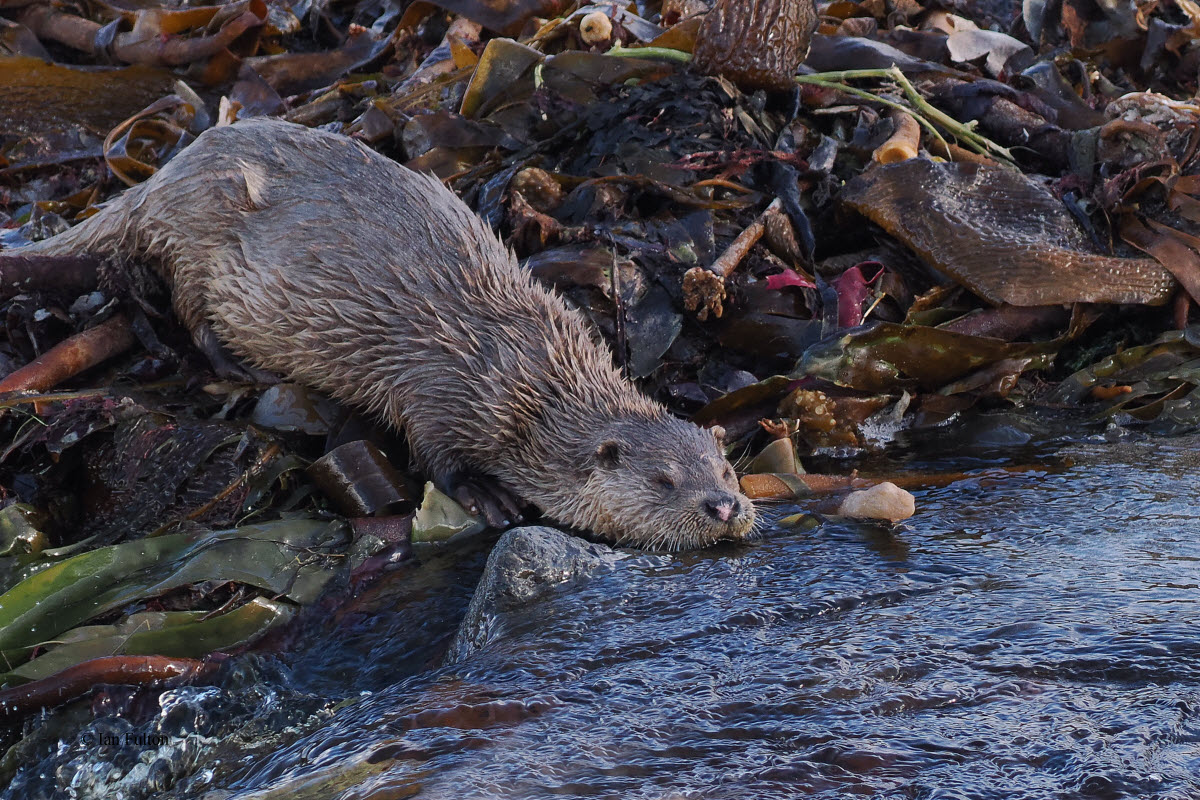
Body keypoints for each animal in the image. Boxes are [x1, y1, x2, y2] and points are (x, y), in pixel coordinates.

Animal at [9, 117, 753, 551]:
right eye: (663, 480)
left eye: (723, 469)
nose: (723, 507)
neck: (527, 378)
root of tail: (164, 172)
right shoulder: (444, 392)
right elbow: (433, 457)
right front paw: (491, 499)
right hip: (194, 237)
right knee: (191, 311)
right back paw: (240, 368)